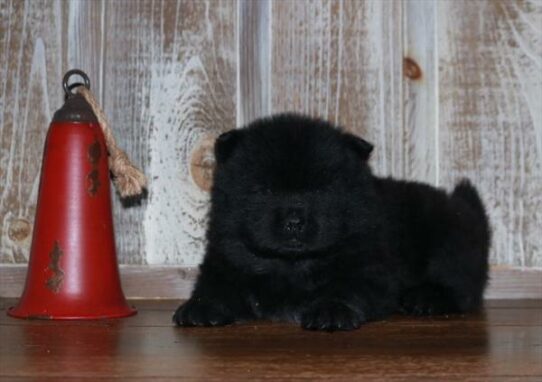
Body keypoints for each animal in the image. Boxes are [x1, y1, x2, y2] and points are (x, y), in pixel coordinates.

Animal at [175, 113, 492, 332]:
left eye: (321, 190)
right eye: (264, 190)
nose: (294, 221)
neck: (292, 265)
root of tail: (465, 207)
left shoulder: (369, 267)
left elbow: (346, 287)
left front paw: (332, 311)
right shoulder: (224, 258)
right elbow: (215, 284)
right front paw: (200, 308)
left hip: (448, 237)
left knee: (462, 284)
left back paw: (425, 298)